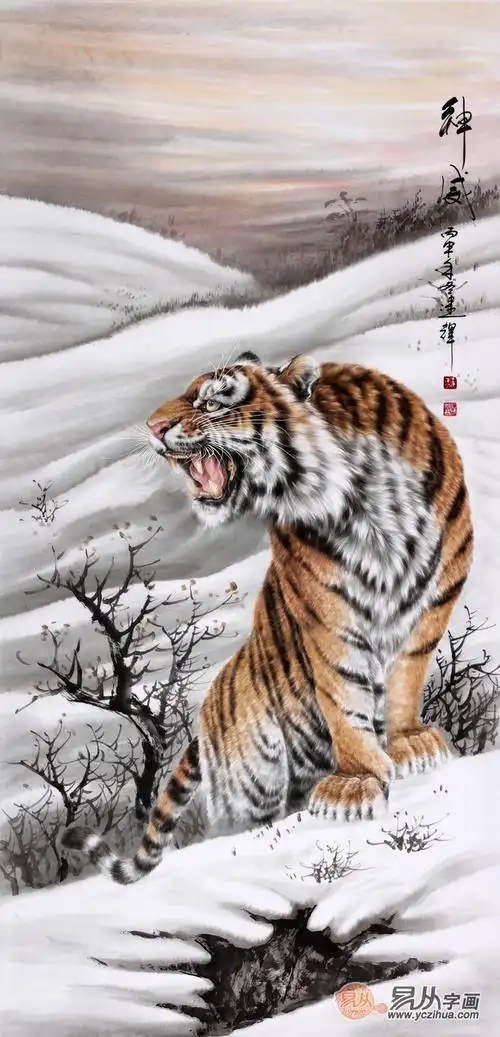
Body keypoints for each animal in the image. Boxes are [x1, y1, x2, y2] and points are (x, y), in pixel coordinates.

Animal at [62, 350, 473, 883]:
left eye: (213, 401)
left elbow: (406, 676)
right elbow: (344, 697)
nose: (152, 427)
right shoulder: (327, 619)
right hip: (250, 788)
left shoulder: (435, 601)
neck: (370, 500)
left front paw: (409, 744)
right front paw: (356, 783)